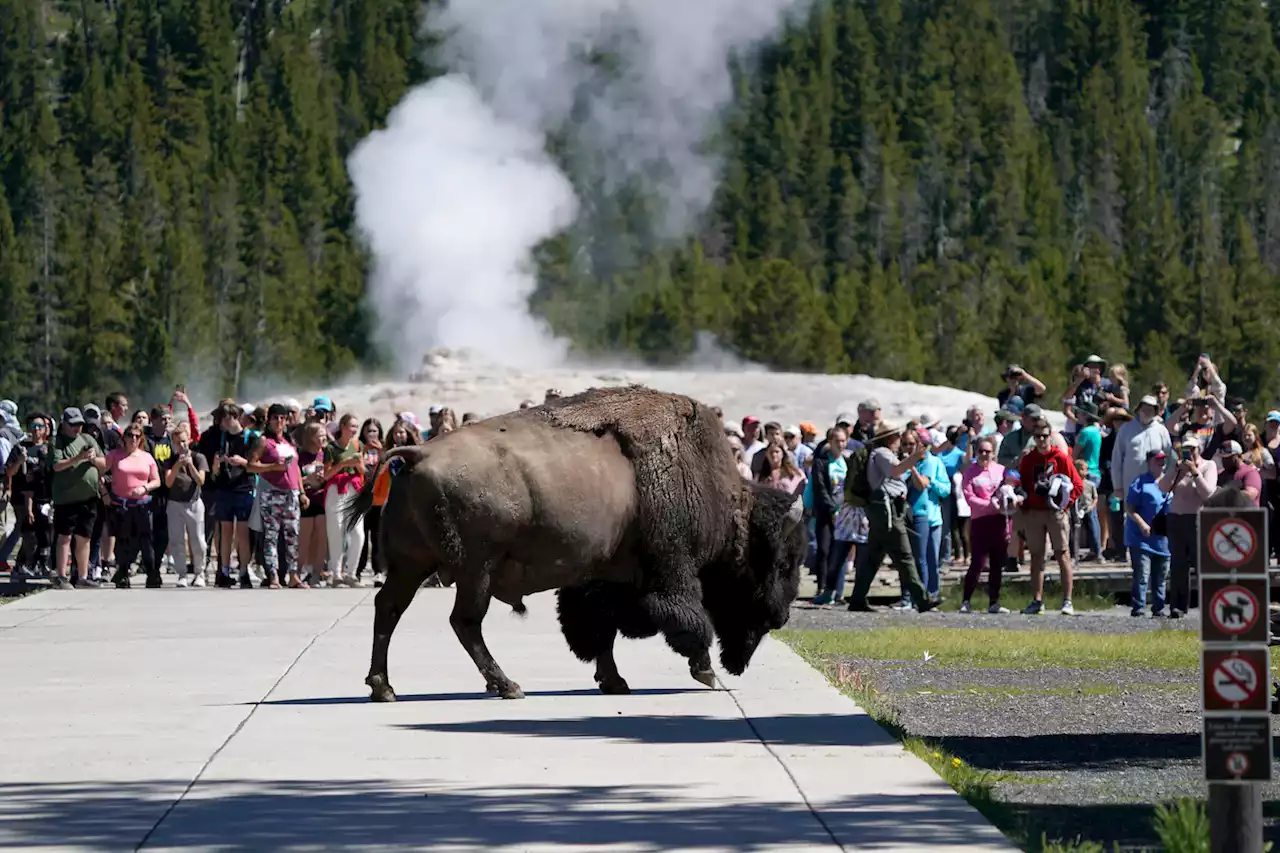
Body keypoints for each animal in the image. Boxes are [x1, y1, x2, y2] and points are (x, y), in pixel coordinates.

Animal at [345, 384, 803, 696]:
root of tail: (416, 453)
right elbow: (689, 619)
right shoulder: (672, 568)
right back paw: (507, 685)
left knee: (389, 608)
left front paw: (614, 681)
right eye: (782, 562)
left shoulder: (601, 580)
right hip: (476, 570)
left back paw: (383, 687)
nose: (782, 617)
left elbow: (599, 629)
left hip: (412, 566)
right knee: (464, 621)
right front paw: (705, 673)